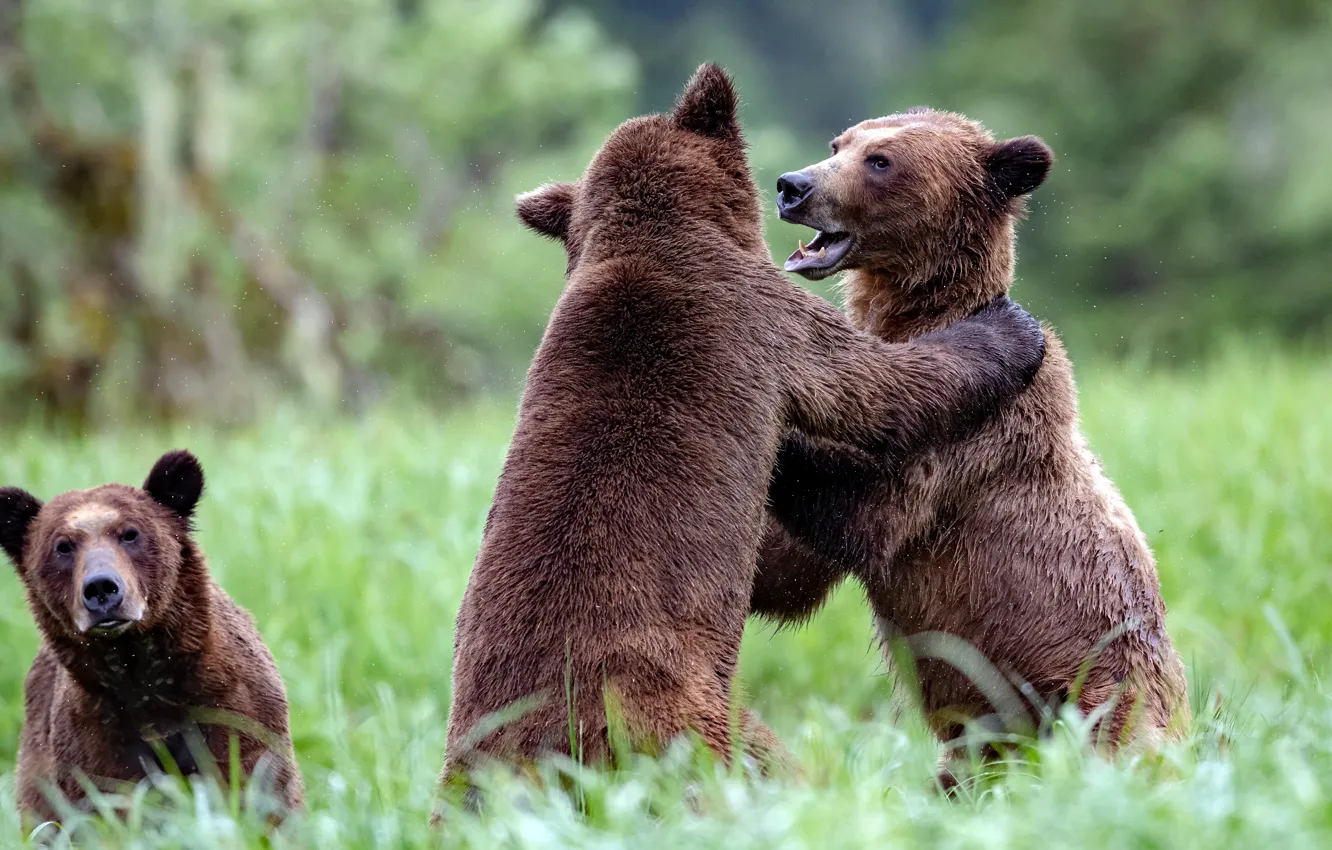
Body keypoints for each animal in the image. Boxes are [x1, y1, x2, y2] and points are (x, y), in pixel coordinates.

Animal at [0, 452, 305, 826]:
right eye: (63, 546)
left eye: (130, 534)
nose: (101, 588)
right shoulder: (94, 735)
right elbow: (107, 802)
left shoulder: (233, 707)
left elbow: (255, 786)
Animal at [756, 106, 1193, 767]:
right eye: (838, 145)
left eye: (880, 160)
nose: (793, 186)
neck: (913, 322)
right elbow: (790, 572)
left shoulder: (973, 434)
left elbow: (871, 515)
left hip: (1098, 693)